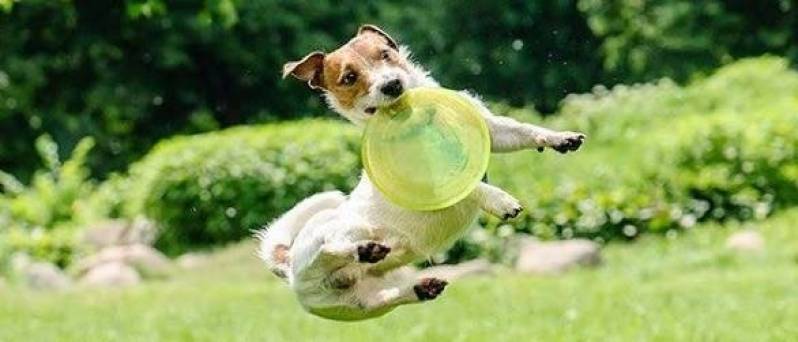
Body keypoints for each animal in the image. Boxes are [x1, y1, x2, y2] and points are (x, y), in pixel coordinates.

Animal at [260, 24, 584, 320]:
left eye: (385, 54)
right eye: (349, 78)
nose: (392, 84)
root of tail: (289, 263)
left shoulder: (492, 132)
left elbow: (523, 130)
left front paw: (560, 138)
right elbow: (470, 186)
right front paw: (499, 200)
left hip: (360, 305)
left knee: (385, 297)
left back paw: (418, 287)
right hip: (340, 232)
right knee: (329, 249)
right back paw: (363, 250)